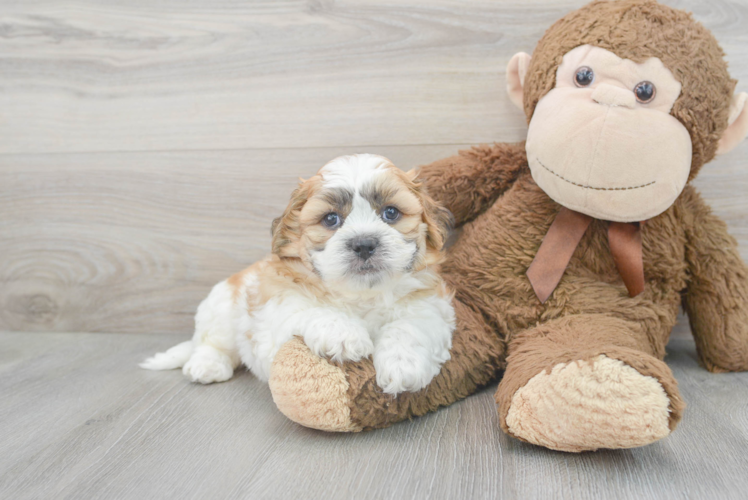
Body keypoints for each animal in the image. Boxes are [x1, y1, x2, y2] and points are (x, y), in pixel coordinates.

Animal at [140, 154, 456, 396]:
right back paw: (206, 365)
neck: (360, 294)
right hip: (221, 309)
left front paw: (403, 365)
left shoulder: (430, 307)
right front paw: (345, 335)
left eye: (391, 213)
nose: (364, 244)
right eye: (331, 219)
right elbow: (312, 309)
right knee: (211, 343)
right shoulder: (279, 304)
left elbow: (410, 326)